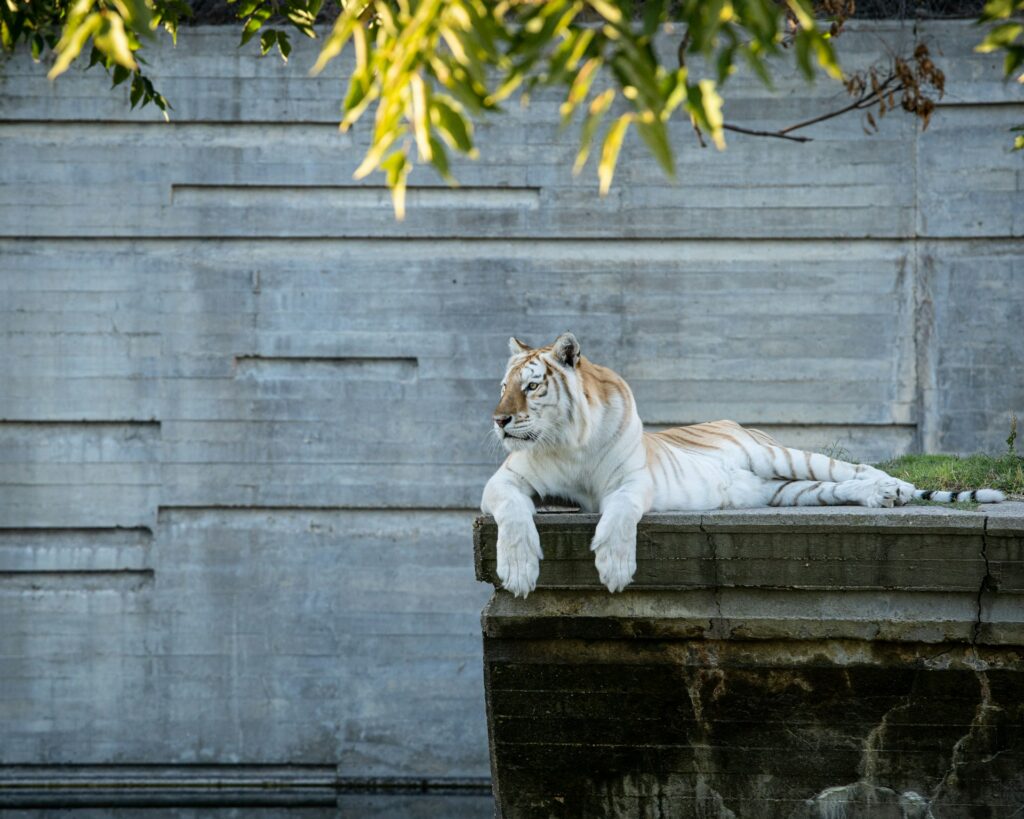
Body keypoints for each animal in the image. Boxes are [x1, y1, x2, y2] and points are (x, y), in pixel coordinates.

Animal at [480, 332, 1006, 598]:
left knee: (857, 470)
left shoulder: (631, 481)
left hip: (784, 456)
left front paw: (613, 567)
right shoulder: (504, 482)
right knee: (843, 488)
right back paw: (881, 497)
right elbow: (513, 516)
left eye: (531, 386)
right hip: (786, 490)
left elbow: (620, 515)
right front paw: (519, 571)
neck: (569, 441)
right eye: (502, 387)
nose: (499, 420)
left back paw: (893, 488)